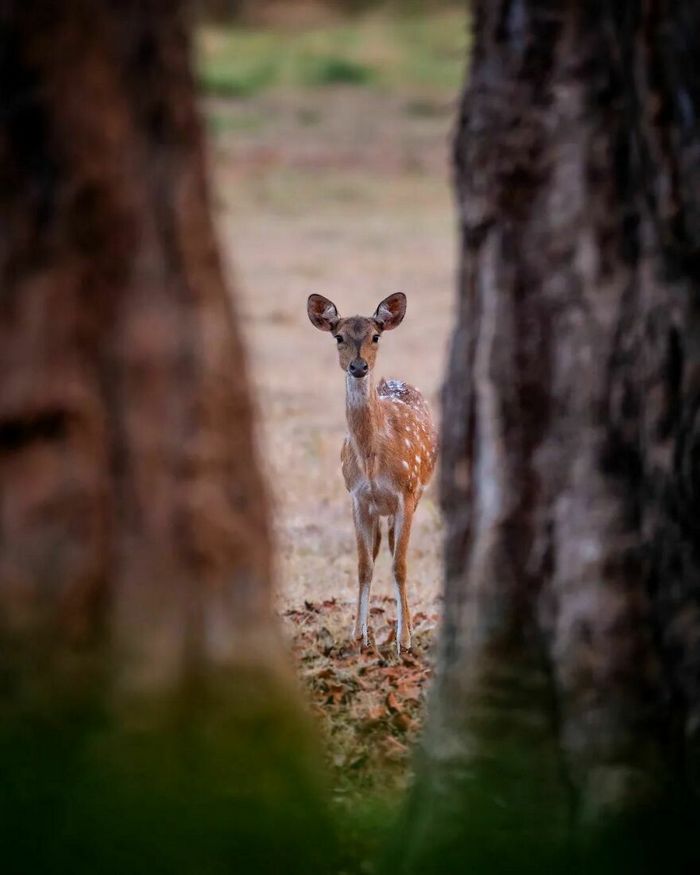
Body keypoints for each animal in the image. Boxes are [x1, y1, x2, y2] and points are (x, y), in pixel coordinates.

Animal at [308, 292, 438, 652]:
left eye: (375, 336)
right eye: (339, 337)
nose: (358, 366)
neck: (371, 459)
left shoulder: (406, 492)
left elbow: (401, 565)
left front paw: (403, 641)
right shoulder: (357, 497)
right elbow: (364, 565)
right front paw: (359, 637)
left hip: (416, 493)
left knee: (395, 550)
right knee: (381, 547)